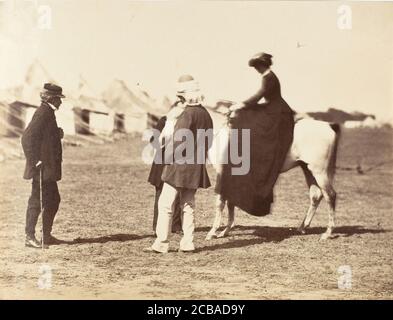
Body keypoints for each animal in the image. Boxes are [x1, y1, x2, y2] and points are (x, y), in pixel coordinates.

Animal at [159, 106, 340, 241]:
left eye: (176, 117)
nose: (161, 140)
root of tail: (328, 127)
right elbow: (230, 202)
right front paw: (225, 231)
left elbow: (221, 203)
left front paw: (212, 233)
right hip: (308, 169)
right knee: (316, 196)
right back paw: (302, 227)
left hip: (319, 171)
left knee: (330, 195)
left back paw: (327, 233)